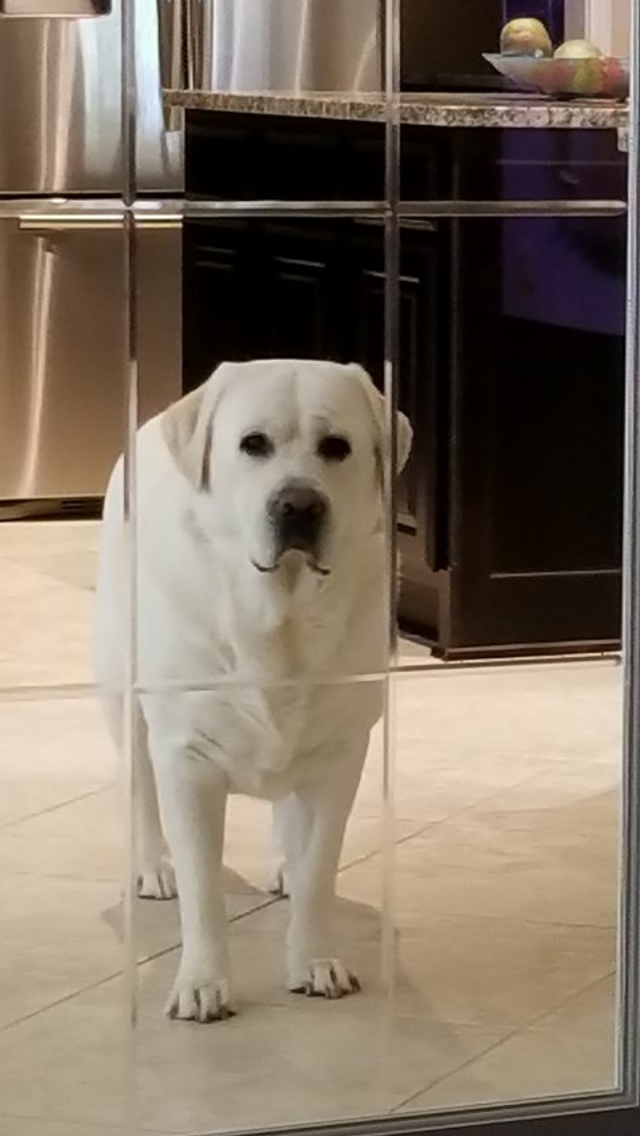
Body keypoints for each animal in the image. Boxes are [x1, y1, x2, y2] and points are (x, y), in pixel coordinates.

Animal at [95, 359, 412, 1022]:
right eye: (253, 444)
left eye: (336, 447)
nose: (298, 504)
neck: (280, 616)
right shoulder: (186, 758)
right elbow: (202, 887)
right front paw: (203, 982)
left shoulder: (343, 754)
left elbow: (320, 869)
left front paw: (314, 960)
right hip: (122, 700)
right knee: (141, 791)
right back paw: (154, 868)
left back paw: (284, 863)